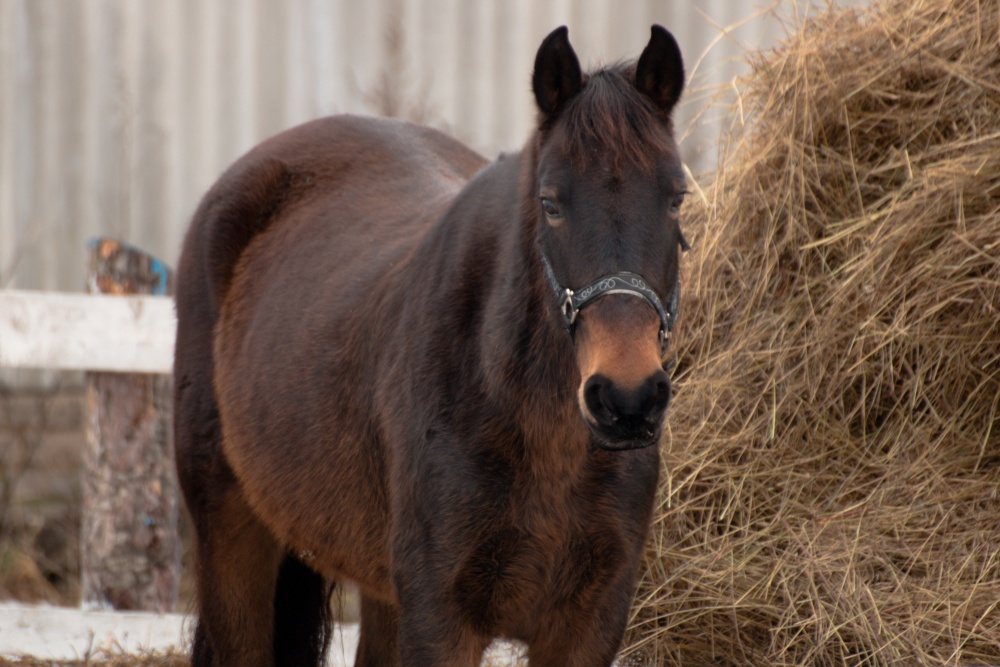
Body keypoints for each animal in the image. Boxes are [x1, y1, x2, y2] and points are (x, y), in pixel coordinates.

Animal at [173, 24, 688, 667]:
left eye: (677, 198)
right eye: (550, 203)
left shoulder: (589, 625)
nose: (627, 400)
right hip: (231, 537)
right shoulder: (439, 618)